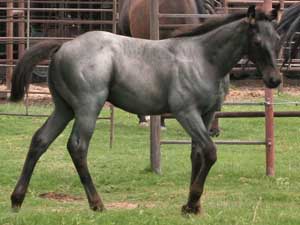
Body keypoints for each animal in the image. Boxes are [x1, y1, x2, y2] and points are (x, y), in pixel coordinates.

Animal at [9, 6, 282, 214]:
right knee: (77, 146)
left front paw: (191, 207)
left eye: (278, 40)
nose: (275, 80)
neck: (203, 58)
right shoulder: (186, 113)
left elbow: (197, 154)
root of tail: (63, 47)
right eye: (257, 41)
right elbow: (210, 152)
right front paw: (193, 201)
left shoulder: (207, 115)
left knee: (40, 140)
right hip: (88, 107)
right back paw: (97, 204)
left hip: (64, 109)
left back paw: (16, 200)